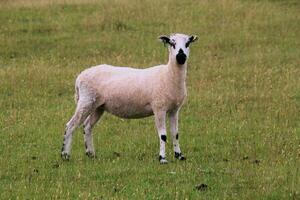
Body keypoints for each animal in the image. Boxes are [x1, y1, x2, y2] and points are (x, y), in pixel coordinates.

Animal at [60, 33, 198, 164]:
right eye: (172, 43)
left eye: (188, 43)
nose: (181, 57)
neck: (168, 75)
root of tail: (80, 77)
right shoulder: (159, 108)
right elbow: (163, 135)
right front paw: (162, 159)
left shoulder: (174, 110)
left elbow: (175, 134)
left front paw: (179, 156)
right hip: (86, 101)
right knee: (71, 125)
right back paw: (65, 155)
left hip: (98, 106)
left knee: (87, 126)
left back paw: (91, 154)